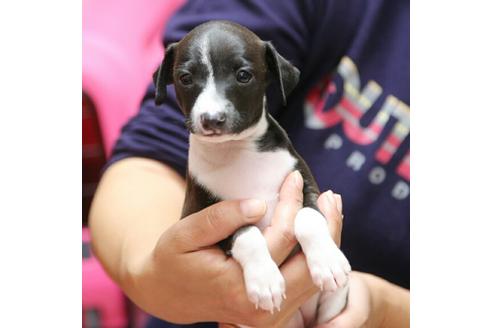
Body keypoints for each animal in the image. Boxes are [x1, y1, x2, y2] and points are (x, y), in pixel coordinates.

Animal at [154, 21, 350, 328]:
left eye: (243, 75)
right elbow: (246, 234)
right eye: (185, 78)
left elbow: (308, 217)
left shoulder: (304, 184)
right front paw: (265, 280)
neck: (237, 151)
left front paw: (327, 261)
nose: (211, 119)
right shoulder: (206, 216)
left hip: (334, 303)